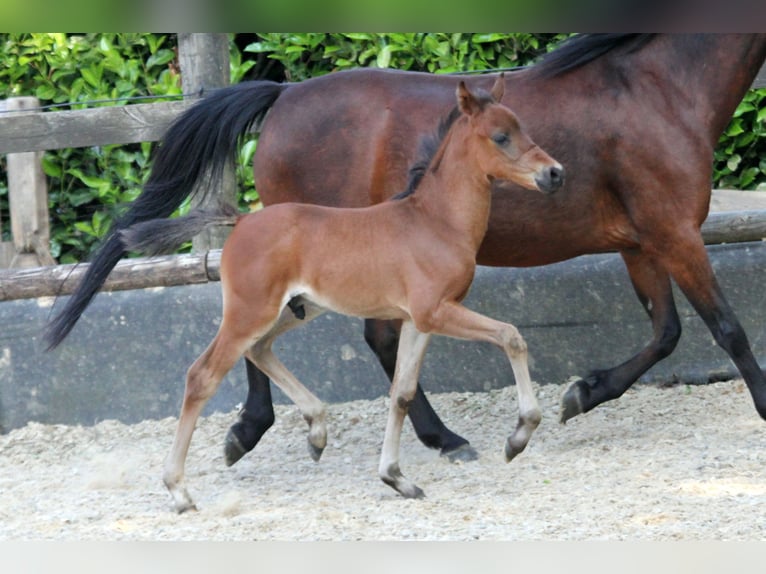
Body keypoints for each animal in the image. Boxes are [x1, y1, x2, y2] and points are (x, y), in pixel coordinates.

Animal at [45, 35, 766, 468]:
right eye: (502, 136)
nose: (554, 174)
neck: (655, 86)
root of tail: (282, 94)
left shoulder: (644, 241)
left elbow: (667, 333)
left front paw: (581, 394)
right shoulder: (676, 233)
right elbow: (726, 327)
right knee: (315, 339)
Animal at [121, 76, 564, 512]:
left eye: (524, 128)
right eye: (501, 136)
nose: (555, 173)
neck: (435, 221)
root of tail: (242, 219)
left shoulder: (418, 319)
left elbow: (402, 393)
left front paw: (396, 478)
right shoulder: (436, 311)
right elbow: (511, 336)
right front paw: (518, 437)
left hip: (299, 308)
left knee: (259, 349)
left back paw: (316, 431)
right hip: (250, 312)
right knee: (203, 375)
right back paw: (179, 490)